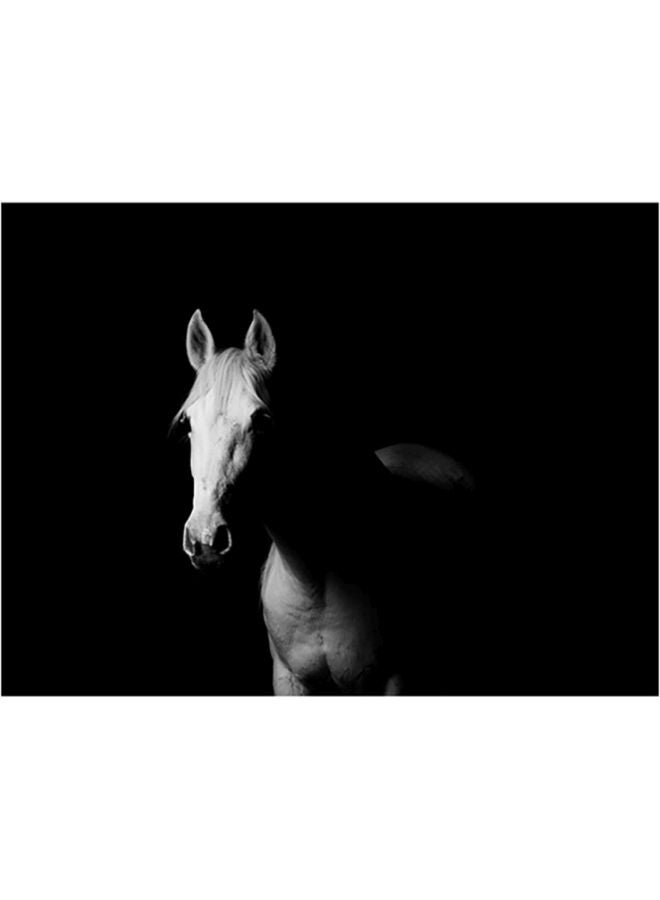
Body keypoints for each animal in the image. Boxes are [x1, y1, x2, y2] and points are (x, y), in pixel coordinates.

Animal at [175, 308, 476, 695]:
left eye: (261, 420)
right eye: (188, 423)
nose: (205, 539)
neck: (315, 581)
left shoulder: (395, 679)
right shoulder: (288, 680)